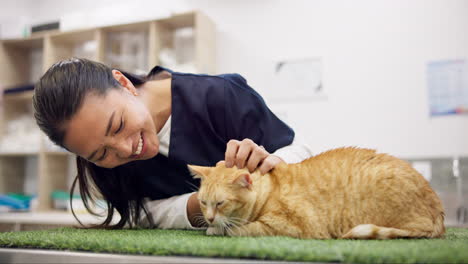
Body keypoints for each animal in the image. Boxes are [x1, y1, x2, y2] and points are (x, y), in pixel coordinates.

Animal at [189, 146, 446, 239]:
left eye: (220, 203)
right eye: (203, 202)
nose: (208, 218)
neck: (270, 191)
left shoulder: (293, 227)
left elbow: (239, 229)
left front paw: (217, 229)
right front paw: (214, 226)